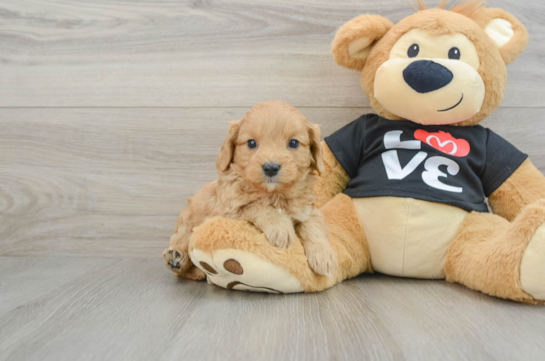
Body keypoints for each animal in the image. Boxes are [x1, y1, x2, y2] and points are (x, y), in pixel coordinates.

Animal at [164, 100, 338, 280]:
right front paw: (280, 226)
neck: (273, 194)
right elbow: (257, 206)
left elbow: (313, 224)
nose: (270, 168)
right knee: (183, 240)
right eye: (251, 143)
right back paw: (176, 257)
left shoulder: (308, 210)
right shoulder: (225, 212)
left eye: (294, 143)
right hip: (188, 219)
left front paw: (323, 254)